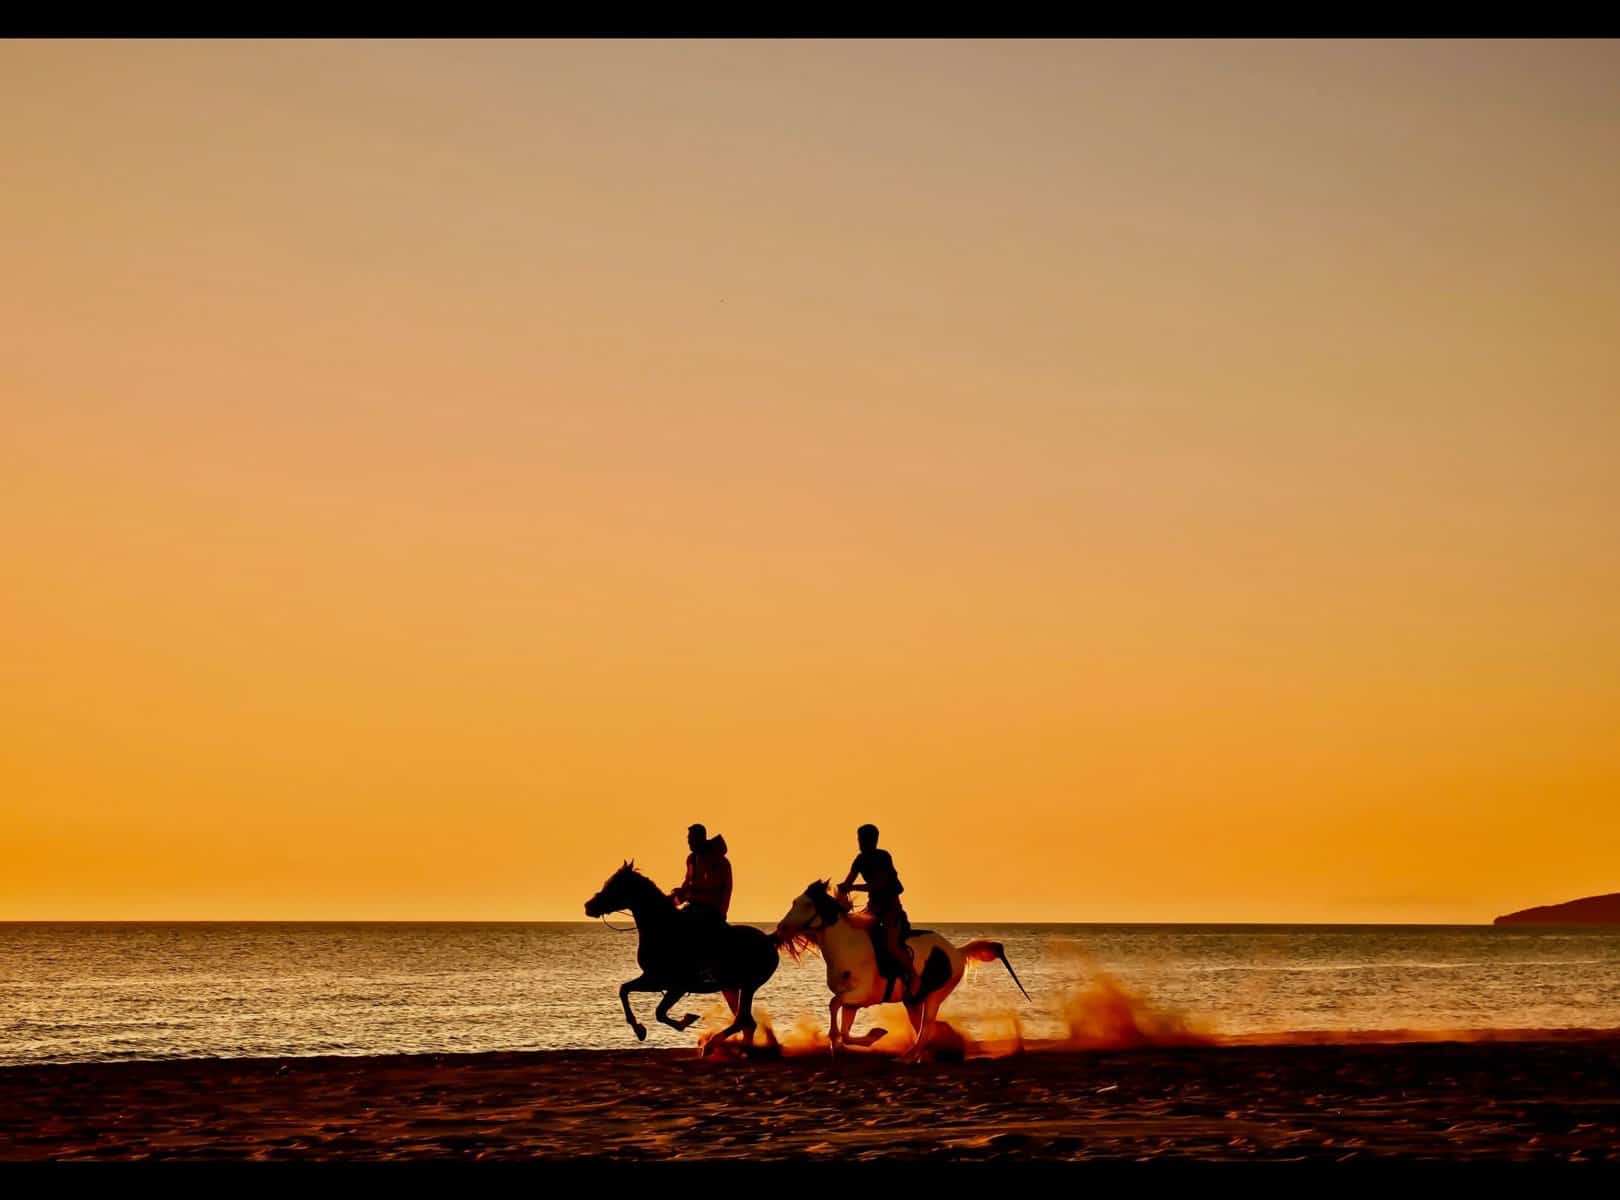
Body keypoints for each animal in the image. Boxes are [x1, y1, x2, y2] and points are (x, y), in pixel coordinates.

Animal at [586, 855, 780, 1055]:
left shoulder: (676, 986)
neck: (665, 929)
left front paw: (685, 1020)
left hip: (747, 986)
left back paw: (712, 1044)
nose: (588, 906)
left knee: (743, 1020)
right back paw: (739, 1049)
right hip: (733, 987)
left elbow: (659, 1013)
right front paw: (639, 1029)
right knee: (747, 1022)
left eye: (615, 884)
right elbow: (624, 990)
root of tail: (769, 939)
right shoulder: (654, 979)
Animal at [771, 874, 1023, 1062]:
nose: (781, 928)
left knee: (926, 1027)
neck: (846, 945)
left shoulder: (860, 995)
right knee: (924, 1027)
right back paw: (918, 1055)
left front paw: (856, 1038)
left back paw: (907, 1057)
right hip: (913, 1000)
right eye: (794, 901)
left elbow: (834, 1005)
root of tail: (956, 952)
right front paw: (867, 1036)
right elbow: (845, 1027)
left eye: (806, 904)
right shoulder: (852, 1001)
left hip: (935, 996)